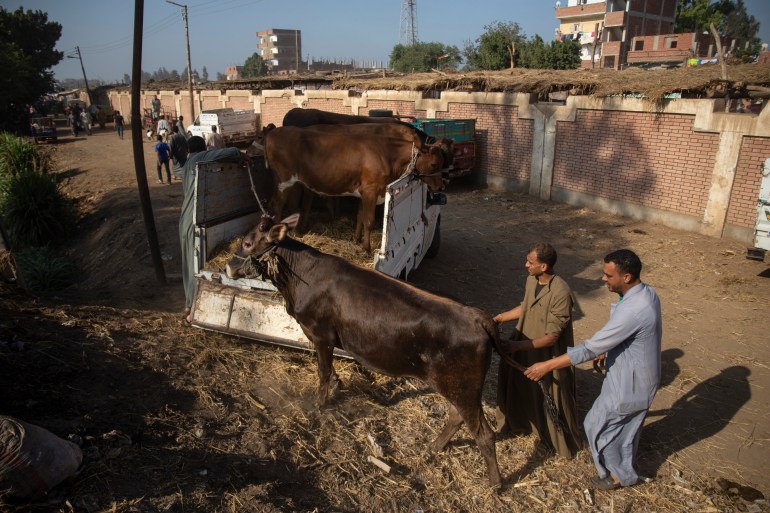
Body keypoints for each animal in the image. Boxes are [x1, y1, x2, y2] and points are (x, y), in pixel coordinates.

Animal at [224, 213, 504, 488]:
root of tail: (477, 316)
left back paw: (496, 483)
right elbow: (329, 370)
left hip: (462, 387)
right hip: (459, 388)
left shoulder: (321, 335)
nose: (227, 267)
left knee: (484, 433)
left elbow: (323, 371)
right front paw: (337, 385)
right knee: (457, 417)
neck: (300, 279)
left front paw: (320, 402)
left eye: (247, 243)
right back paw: (435, 446)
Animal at [264, 124, 444, 252]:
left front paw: (357, 240)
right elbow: (369, 220)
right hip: (283, 181)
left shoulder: (364, 192)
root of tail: (274, 132)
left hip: (293, 183)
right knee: (277, 206)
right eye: (434, 164)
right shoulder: (371, 190)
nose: (440, 186)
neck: (387, 154)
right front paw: (366, 248)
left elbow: (360, 216)